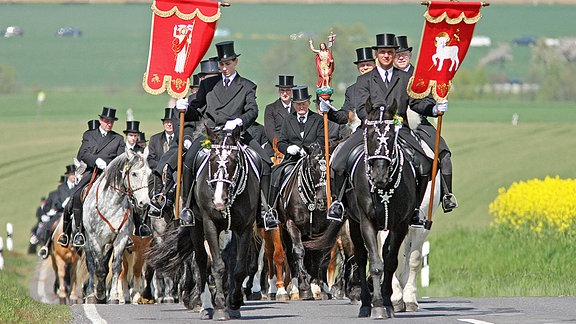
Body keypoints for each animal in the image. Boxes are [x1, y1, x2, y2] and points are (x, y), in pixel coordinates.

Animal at [83, 150, 152, 304]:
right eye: (134, 174)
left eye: (149, 173)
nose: (144, 203)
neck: (112, 204)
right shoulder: (96, 240)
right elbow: (98, 268)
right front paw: (100, 293)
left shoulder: (121, 238)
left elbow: (115, 268)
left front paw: (113, 297)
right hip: (88, 242)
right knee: (91, 264)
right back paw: (91, 294)